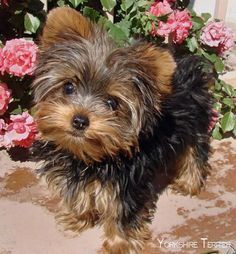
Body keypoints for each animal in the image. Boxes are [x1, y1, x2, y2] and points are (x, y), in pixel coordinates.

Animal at [30, 6, 213, 253]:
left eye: (112, 103)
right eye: (68, 87)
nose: (79, 120)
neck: (89, 156)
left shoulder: (127, 182)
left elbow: (121, 212)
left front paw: (119, 243)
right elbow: (79, 192)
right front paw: (79, 217)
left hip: (195, 123)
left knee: (195, 152)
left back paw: (189, 183)